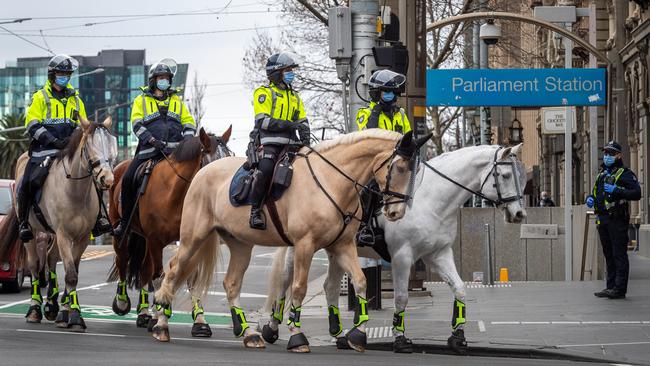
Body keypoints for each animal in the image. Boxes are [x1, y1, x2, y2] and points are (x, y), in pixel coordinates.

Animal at [108, 126, 233, 338]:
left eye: (231, 158)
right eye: (211, 164)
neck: (174, 193)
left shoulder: (189, 241)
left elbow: (192, 279)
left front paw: (200, 321)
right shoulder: (155, 241)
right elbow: (158, 278)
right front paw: (160, 317)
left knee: (143, 270)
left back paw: (144, 314)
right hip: (124, 234)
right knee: (123, 261)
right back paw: (123, 303)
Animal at [150, 130, 428, 354]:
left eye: (414, 171)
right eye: (400, 168)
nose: (396, 212)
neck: (331, 180)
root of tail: (204, 170)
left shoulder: (342, 246)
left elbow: (360, 281)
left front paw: (357, 335)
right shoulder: (305, 245)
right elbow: (298, 288)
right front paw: (297, 336)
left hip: (240, 244)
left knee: (231, 284)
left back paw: (248, 333)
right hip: (193, 238)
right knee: (173, 271)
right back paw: (162, 324)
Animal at [260, 144, 524, 354]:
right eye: (505, 175)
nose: (519, 214)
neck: (430, 200)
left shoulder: (439, 254)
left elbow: (459, 289)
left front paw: (457, 338)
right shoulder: (402, 257)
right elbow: (401, 297)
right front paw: (400, 338)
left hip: (336, 248)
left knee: (330, 287)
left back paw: (339, 335)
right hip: (302, 247)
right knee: (286, 280)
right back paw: (272, 329)